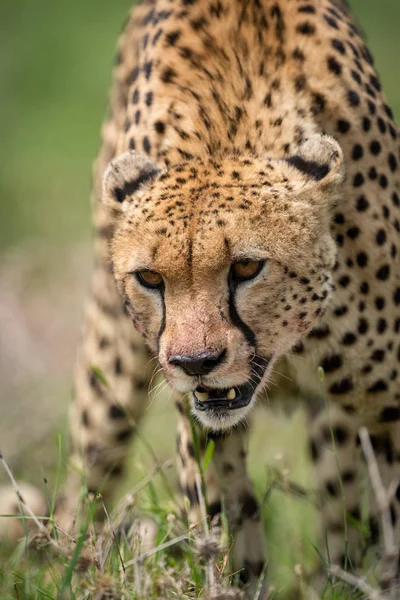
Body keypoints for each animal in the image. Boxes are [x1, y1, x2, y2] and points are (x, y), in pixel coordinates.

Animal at [3, 0, 400, 592]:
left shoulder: (382, 408)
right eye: (150, 278)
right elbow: (222, 520)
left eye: (247, 267)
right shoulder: (201, 424)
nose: (196, 362)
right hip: (109, 366)